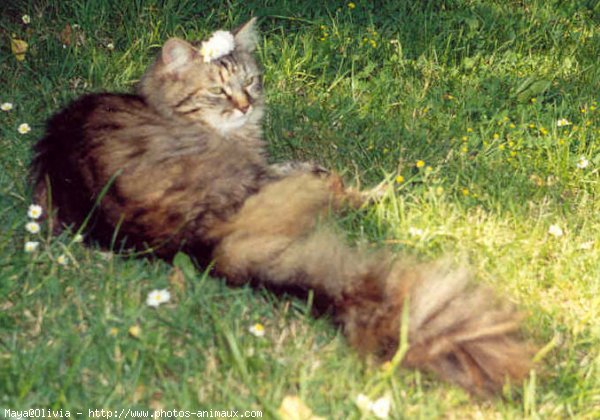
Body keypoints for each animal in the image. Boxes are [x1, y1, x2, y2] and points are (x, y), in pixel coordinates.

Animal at [30, 18, 532, 396]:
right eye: (218, 92)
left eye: (250, 81)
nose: (245, 105)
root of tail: (200, 244)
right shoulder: (270, 170)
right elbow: (321, 174)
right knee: (345, 193)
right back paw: (392, 189)